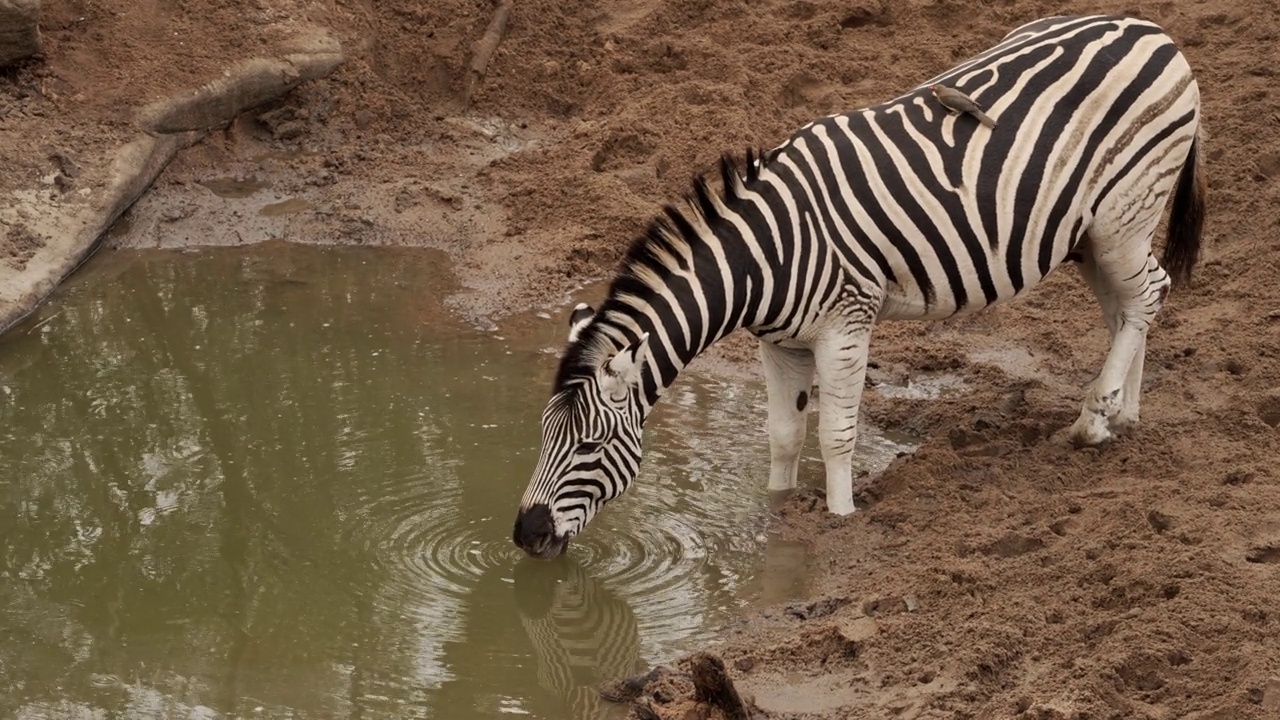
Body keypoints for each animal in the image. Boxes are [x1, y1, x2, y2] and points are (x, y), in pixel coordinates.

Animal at [506, 14, 1198, 558]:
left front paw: (840, 522)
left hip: (1126, 214)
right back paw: (1123, 414)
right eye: (541, 433)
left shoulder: (846, 325)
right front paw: (776, 514)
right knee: (1127, 308)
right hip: (1088, 235)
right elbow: (785, 434)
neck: (762, 259)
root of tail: (1149, 29)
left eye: (591, 446)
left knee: (1148, 294)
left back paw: (1094, 420)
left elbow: (835, 437)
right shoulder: (778, 343)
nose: (525, 535)